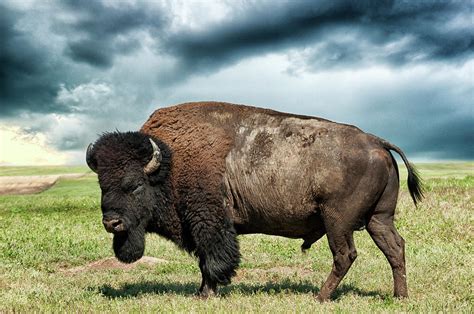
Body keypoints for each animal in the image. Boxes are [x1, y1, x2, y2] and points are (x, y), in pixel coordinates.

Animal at [85, 102, 422, 300]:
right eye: (102, 185)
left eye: (134, 185)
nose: (111, 222)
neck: (169, 161)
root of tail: (377, 141)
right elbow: (205, 261)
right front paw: (202, 293)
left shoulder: (209, 223)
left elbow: (212, 259)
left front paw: (207, 293)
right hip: (379, 218)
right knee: (394, 248)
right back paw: (399, 296)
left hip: (337, 221)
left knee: (345, 255)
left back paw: (320, 297)